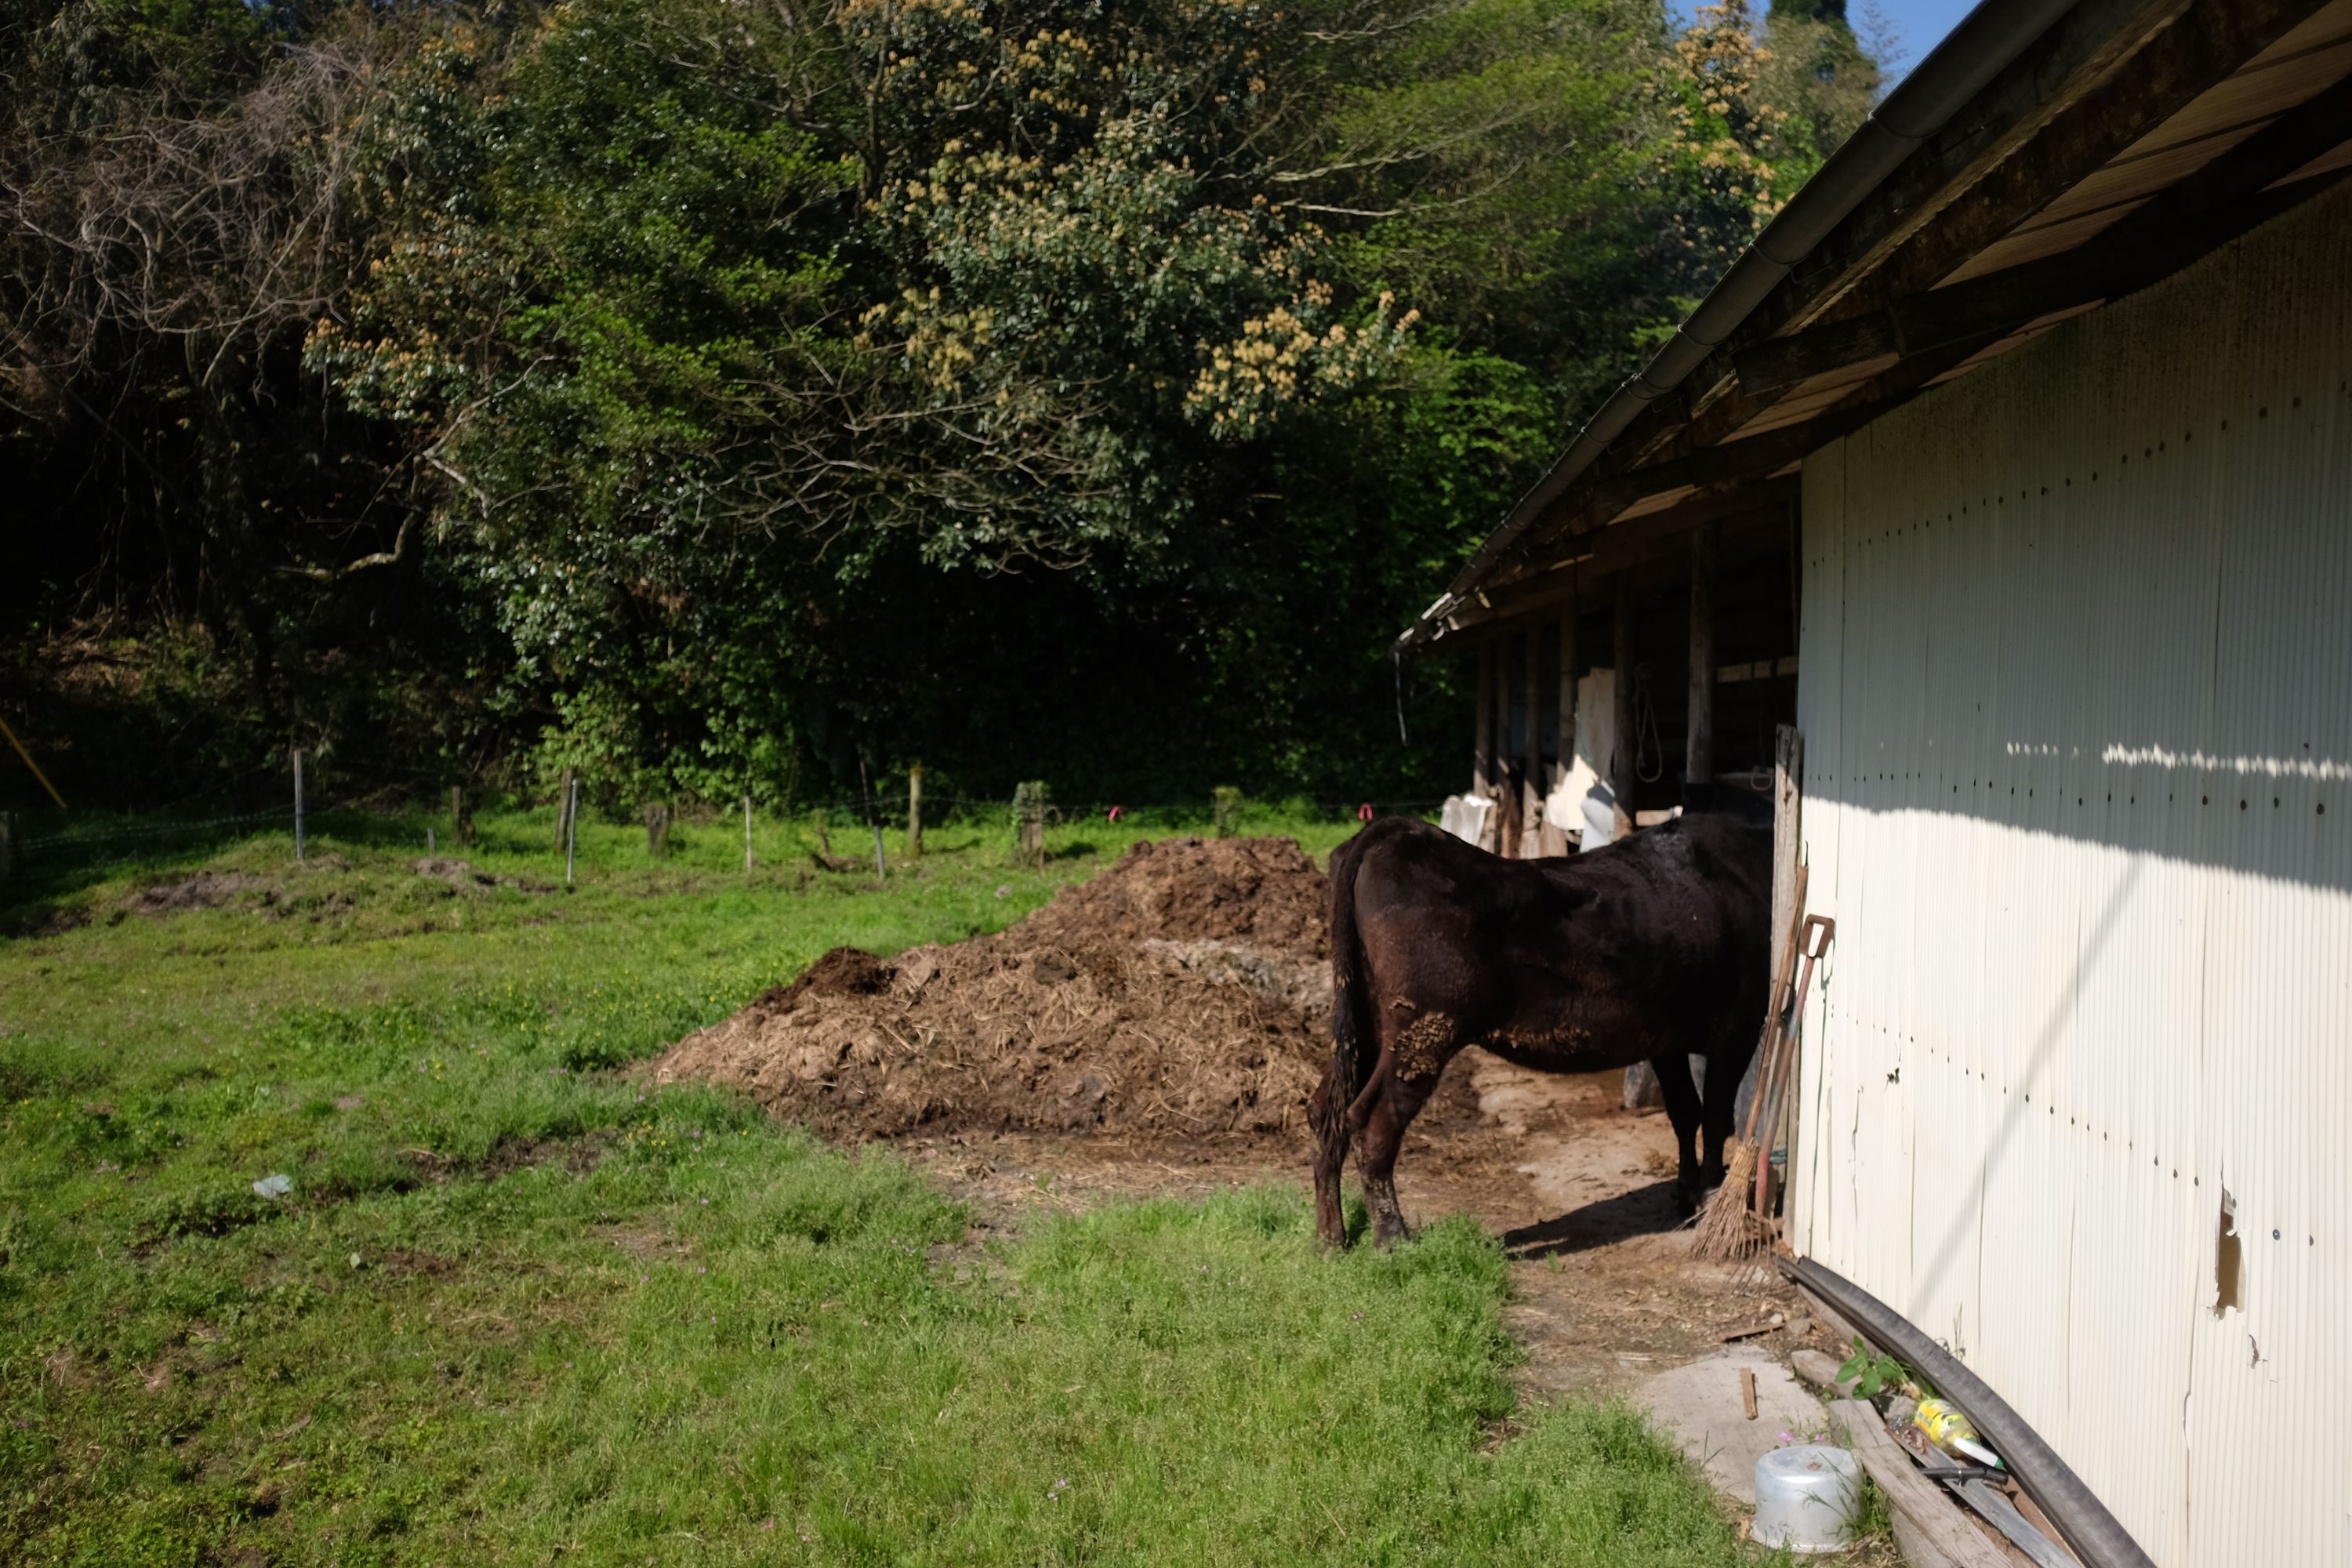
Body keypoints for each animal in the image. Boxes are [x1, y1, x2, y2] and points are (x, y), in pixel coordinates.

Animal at [1308, 808, 1769, 1250]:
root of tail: (1401, 831)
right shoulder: (1738, 1027)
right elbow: (1716, 1117)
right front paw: (1710, 1196)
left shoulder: (1668, 1040)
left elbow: (1685, 1112)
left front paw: (1687, 1195)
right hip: (1423, 1031)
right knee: (1371, 1119)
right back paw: (1393, 1239)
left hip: (1365, 1026)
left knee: (1325, 1110)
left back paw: (1330, 1239)